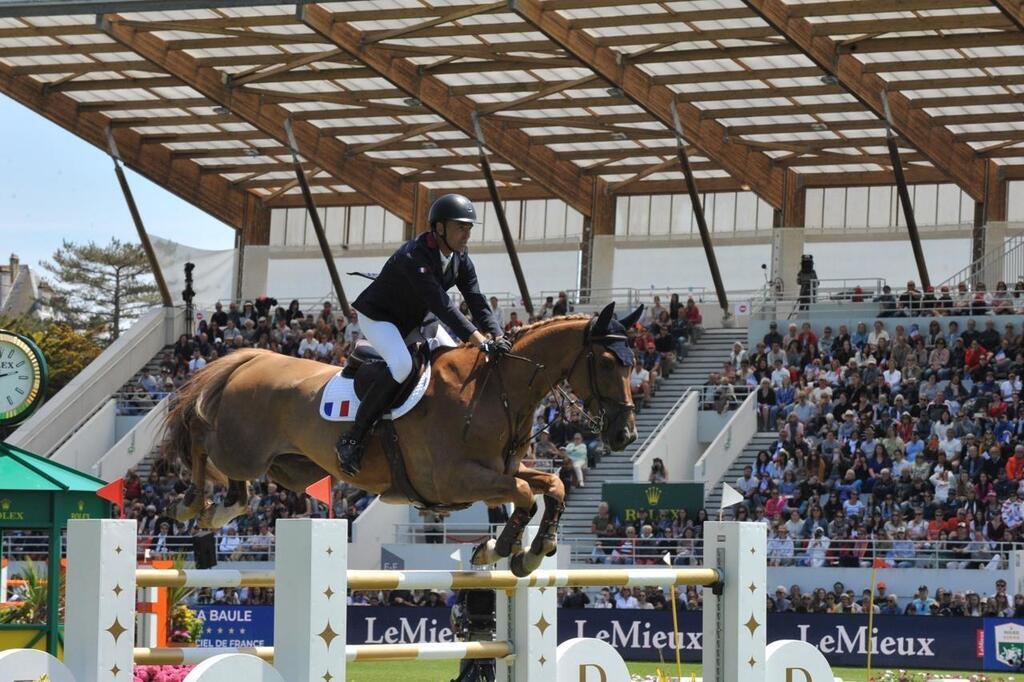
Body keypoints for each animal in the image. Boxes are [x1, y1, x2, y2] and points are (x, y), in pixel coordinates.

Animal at [162, 303, 634, 573]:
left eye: (632, 364)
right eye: (608, 362)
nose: (625, 434)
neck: (497, 389)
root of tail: (253, 358)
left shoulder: (500, 470)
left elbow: (551, 485)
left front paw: (534, 549)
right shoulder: (455, 479)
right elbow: (523, 495)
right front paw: (499, 549)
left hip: (291, 468)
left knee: (236, 480)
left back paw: (220, 508)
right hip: (245, 449)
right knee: (201, 439)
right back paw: (191, 504)